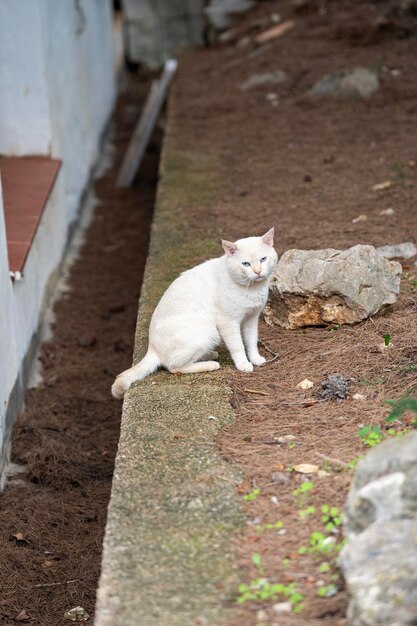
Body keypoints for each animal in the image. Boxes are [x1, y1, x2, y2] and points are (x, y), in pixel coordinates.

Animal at [112, 227, 278, 398]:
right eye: (246, 264)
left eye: (263, 259)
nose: (258, 271)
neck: (253, 288)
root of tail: (152, 348)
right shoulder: (228, 322)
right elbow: (237, 346)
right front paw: (243, 364)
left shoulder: (251, 318)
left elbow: (251, 342)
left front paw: (255, 358)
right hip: (207, 332)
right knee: (174, 367)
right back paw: (210, 364)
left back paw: (209, 355)